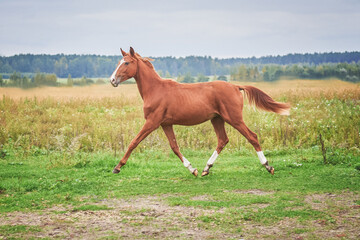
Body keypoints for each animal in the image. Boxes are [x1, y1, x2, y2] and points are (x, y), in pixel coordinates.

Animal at [109, 47, 290, 177]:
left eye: (126, 63)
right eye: (119, 61)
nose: (112, 80)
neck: (155, 90)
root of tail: (235, 86)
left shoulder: (152, 122)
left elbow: (134, 142)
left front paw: (117, 167)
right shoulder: (166, 124)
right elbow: (174, 147)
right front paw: (193, 169)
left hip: (234, 118)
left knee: (252, 136)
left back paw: (268, 166)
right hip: (217, 119)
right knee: (223, 140)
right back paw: (206, 169)